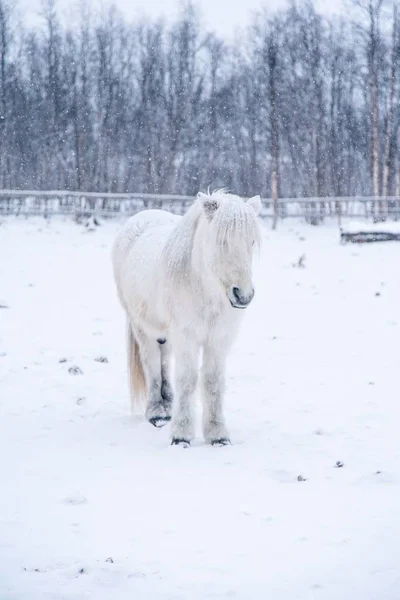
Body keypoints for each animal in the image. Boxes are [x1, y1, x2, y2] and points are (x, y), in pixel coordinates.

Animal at [111, 190, 262, 448]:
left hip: (166, 333)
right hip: (142, 326)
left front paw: (218, 435)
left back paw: (167, 403)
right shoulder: (187, 337)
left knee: (163, 359)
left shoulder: (218, 339)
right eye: (222, 241)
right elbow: (188, 380)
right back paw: (157, 413)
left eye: (251, 242)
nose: (243, 295)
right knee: (152, 363)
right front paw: (181, 435)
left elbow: (212, 382)